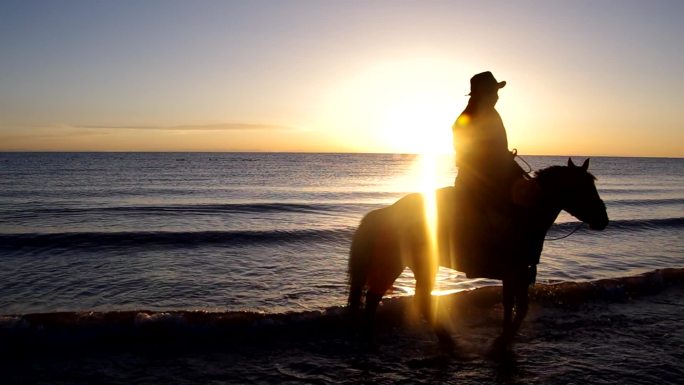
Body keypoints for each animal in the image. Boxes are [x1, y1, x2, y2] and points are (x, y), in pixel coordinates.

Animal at [348, 158, 608, 346]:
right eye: (583, 188)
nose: (603, 220)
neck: (525, 214)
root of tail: (386, 212)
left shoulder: (513, 273)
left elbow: (509, 304)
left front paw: (505, 337)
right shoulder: (517, 271)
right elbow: (520, 307)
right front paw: (503, 339)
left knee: (384, 298)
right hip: (408, 264)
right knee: (393, 299)